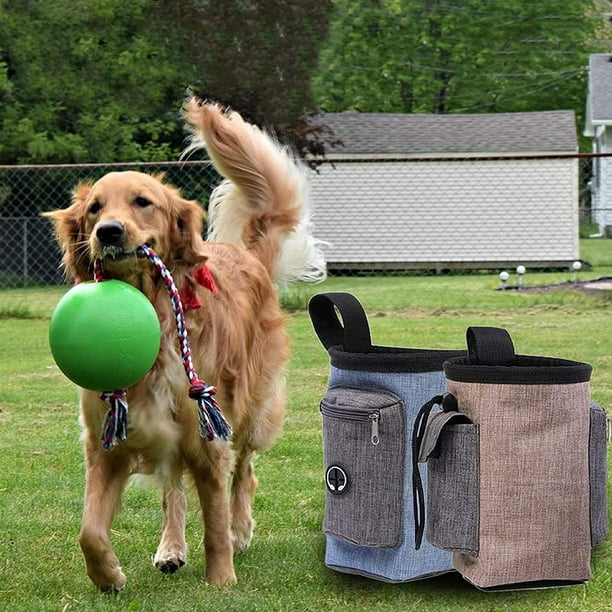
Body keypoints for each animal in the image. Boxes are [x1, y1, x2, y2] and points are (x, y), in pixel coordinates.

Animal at [45, 100, 326, 592]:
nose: (108, 231)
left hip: (251, 409)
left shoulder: (207, 434)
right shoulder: (106, 441)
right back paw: (171, 548)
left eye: (143, 202)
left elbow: (214, 517)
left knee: (244, 471)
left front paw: (222, 579)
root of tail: (245, 253)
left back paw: (240, 530)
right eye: (95, 208)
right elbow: (89, 529)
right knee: (172, 489)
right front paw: (108, 575)